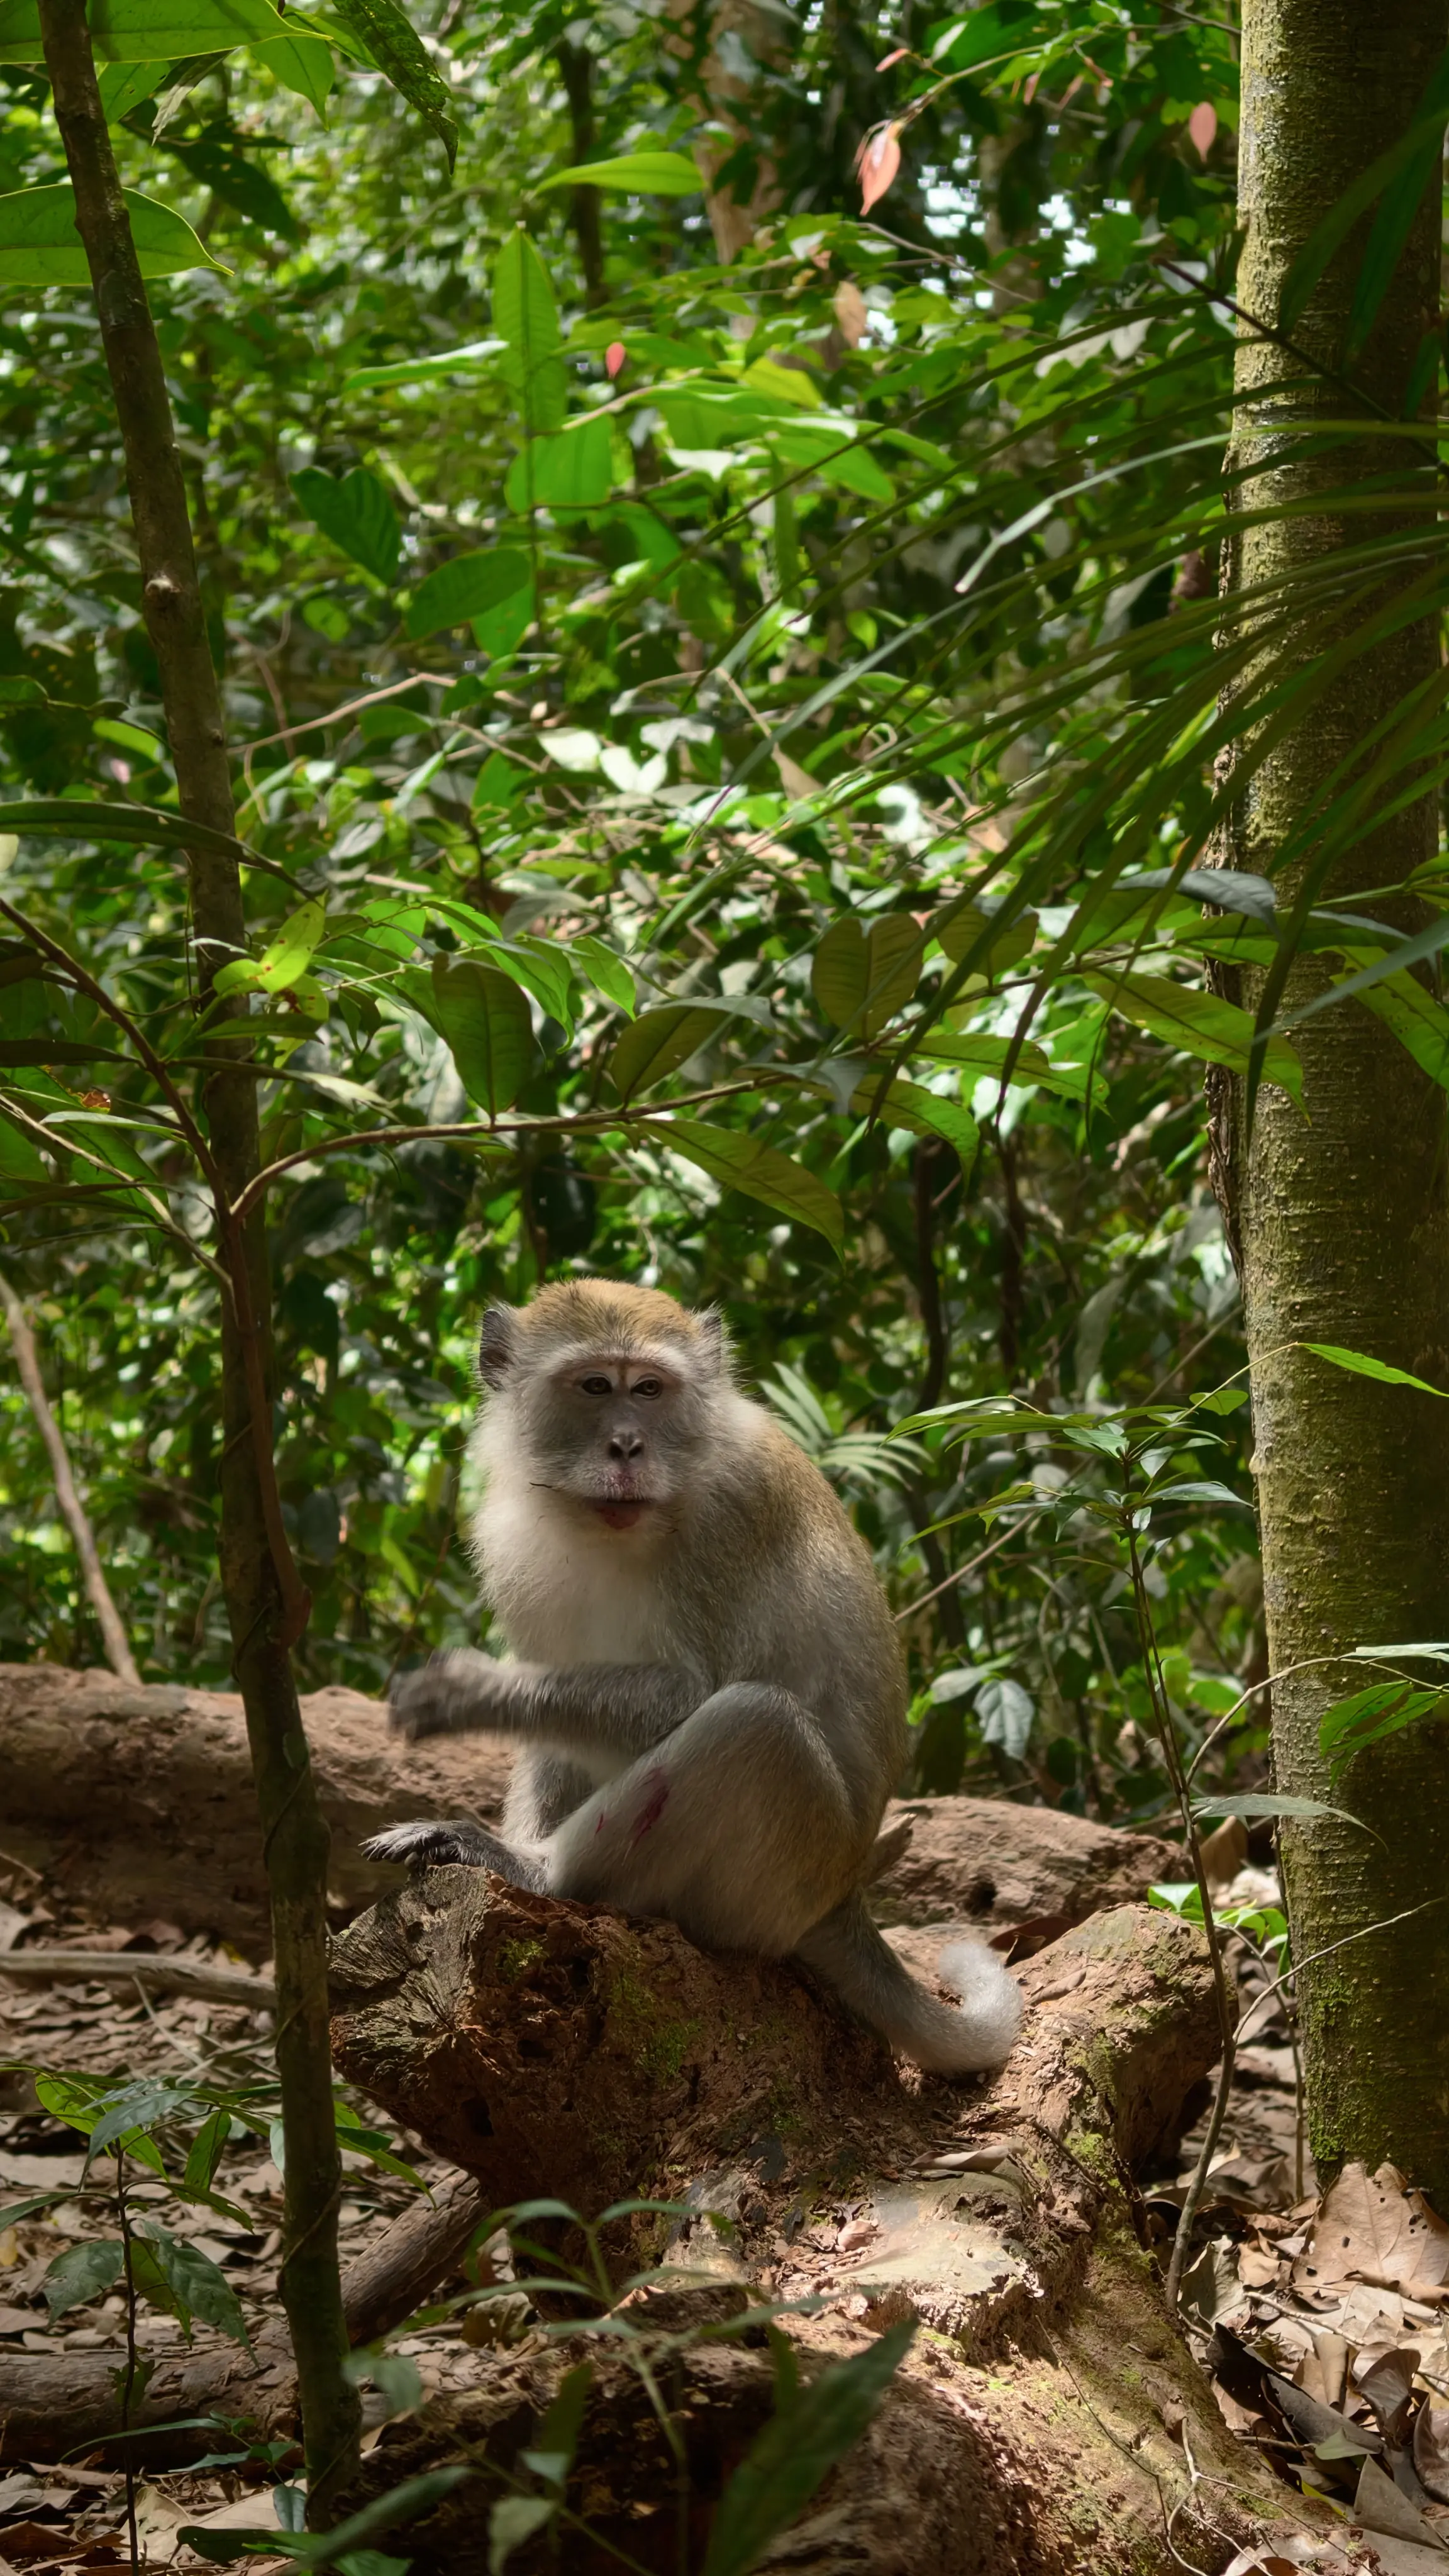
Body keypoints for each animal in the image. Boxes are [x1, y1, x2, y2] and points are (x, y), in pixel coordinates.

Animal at [363, 1279, 1023, 2078]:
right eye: (595, 1386)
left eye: (649, 1389)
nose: (626, 1445)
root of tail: (843, 1899)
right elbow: (557, 1722)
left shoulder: (728, 1519)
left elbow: (688, 1694)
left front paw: (471, 1695)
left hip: (782, 1880)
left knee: (756, 1721)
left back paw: (540, 1871)